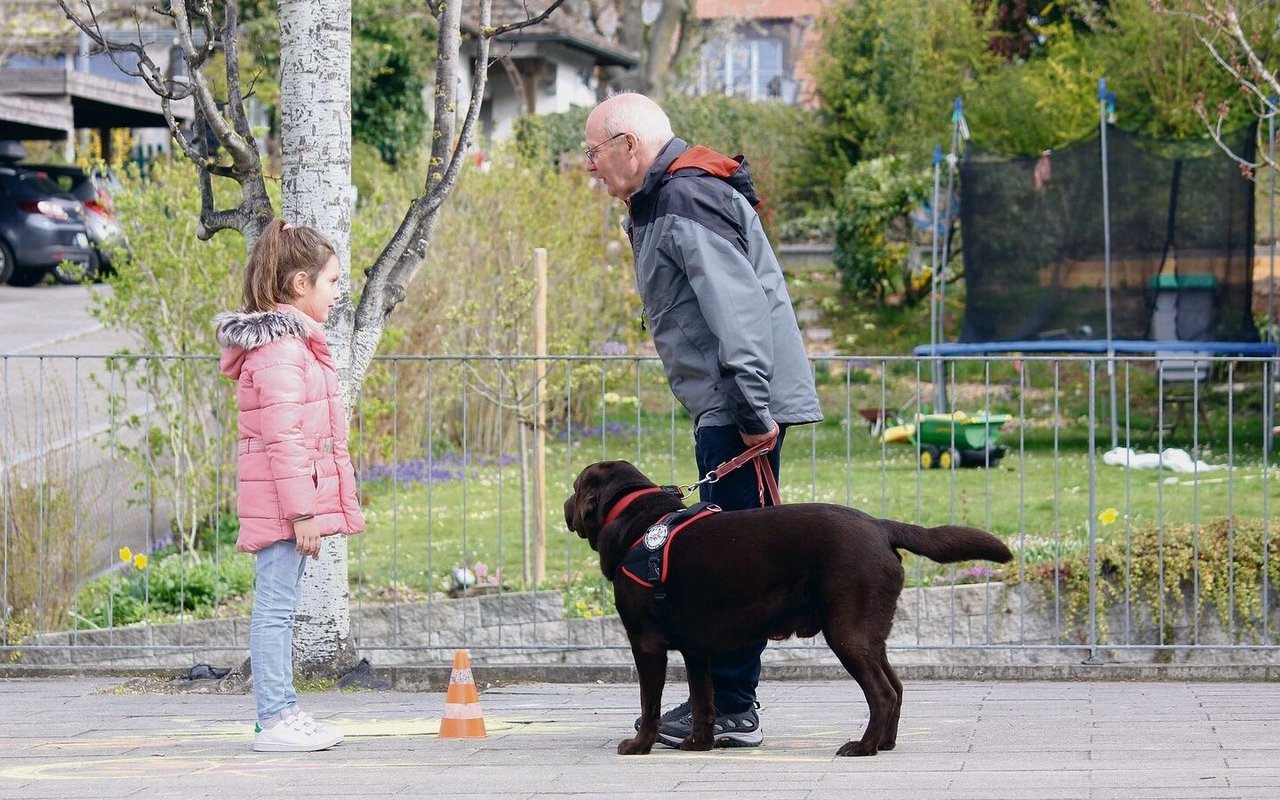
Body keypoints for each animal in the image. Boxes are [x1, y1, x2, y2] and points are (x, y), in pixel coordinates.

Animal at [565, 460, 1013, 752]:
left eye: (573, 487)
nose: (567, 508)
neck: (638, 523)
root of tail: (881, 526)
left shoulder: (646, 643)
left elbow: (650, 702)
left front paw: (639, 744)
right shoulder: (697, 649)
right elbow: (705, 700)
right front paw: (698, 744)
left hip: (847, 633)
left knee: (883, 693)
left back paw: (863, 746)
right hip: (868, 635)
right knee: (897, 687)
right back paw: (884, 743)